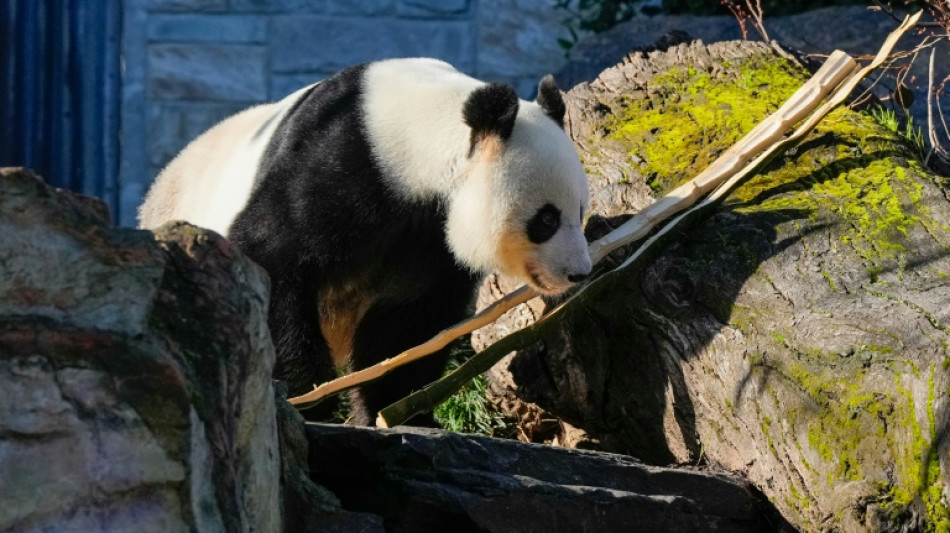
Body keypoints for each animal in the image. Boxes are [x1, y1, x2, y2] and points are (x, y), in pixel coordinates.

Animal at [138, 58, 592, 425]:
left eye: (581, 210)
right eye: (546, 219)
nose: (578, 273)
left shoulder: (429, 237)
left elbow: (409, 318)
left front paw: (393, 408)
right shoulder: (338, 161)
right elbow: (272, 257)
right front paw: (308, 400)